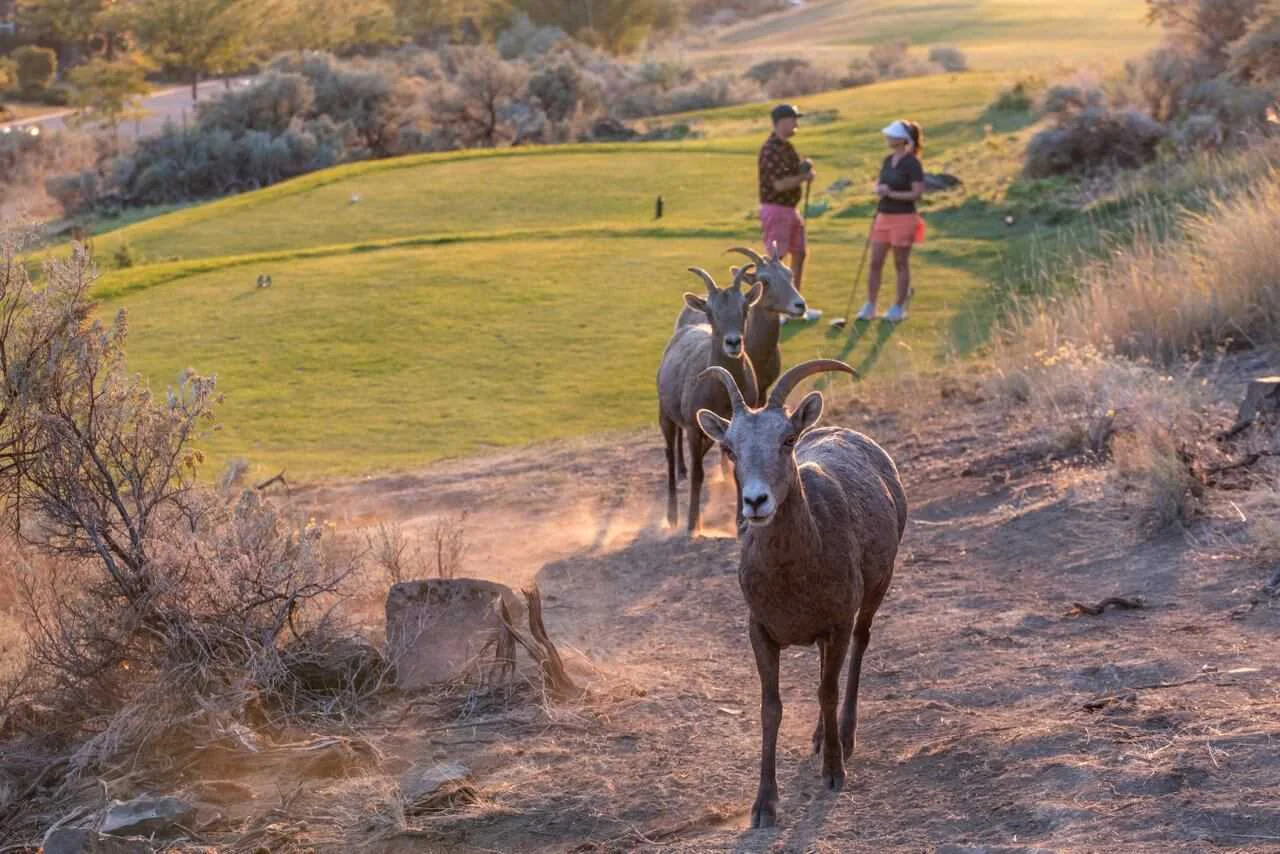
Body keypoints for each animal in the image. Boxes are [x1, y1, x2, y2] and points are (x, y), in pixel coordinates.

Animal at [657, 266, 762, 534]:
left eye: (745, 308)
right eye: (711, 313)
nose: (733, 342)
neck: (721, 392)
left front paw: (740, 523)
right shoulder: (694, 429)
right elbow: (698, 474)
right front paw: (693, 525)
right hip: (665, 416)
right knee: (670, 455)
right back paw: (672, 517)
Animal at [695, 358, 907, 828]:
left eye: (787, 440)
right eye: (730, 448)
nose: (756, 502)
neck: (792, 578)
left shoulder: (837, 624)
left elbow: (827, 692)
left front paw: (833, 772)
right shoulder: (760, 632)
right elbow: (771, 708)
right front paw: (764, 806)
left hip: (875, 594)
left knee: (859, 650)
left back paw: (842, 737)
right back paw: (820, 737)